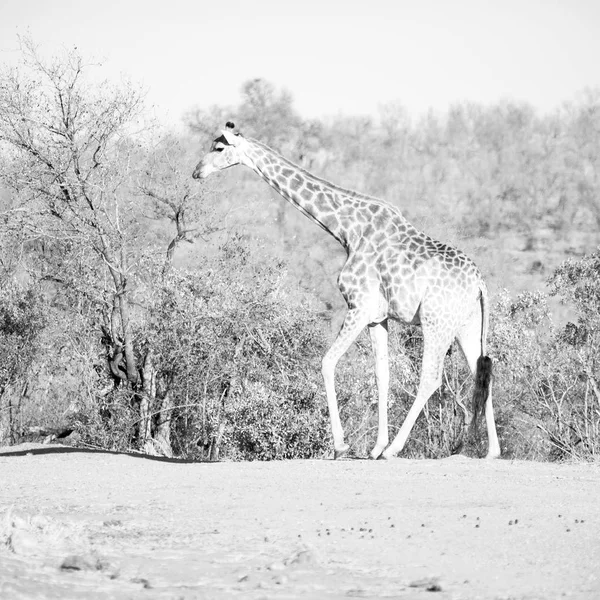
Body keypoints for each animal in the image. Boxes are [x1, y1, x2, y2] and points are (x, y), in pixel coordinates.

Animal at [193, 120, 502, 460]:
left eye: (218, 148)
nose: (196, 172)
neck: (346, 230)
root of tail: (480, 284)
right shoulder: (377, 317)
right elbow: (382, 375)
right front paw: (375, 446)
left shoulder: (359, 306)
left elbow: (327, 362)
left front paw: (342, 445)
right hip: (467, 325)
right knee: (482, 372)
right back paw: (488, 451)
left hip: (437, 322)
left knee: (431, 378)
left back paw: (397, 449)